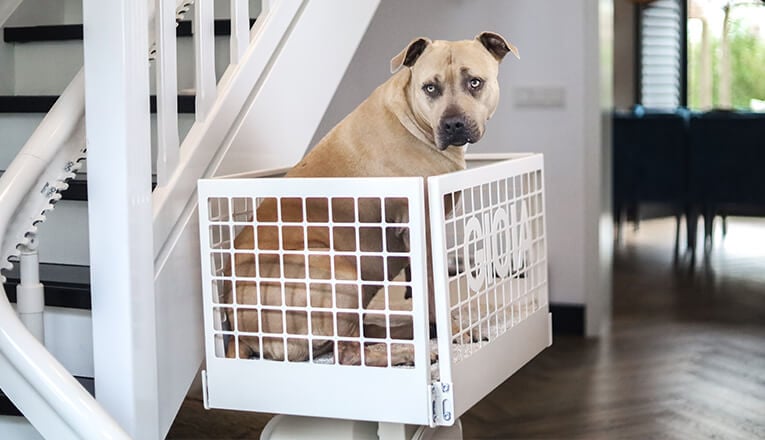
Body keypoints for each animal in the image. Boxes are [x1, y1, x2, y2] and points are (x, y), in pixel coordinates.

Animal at [224, 31, 516, 364]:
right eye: (430, 87)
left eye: (475, 82)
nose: (453, 124)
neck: (413, 118)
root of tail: (238, 330)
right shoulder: (424, 232)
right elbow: (432, 292)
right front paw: (455, 332)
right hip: (335, 268)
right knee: (348, 354)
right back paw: (411, 352)